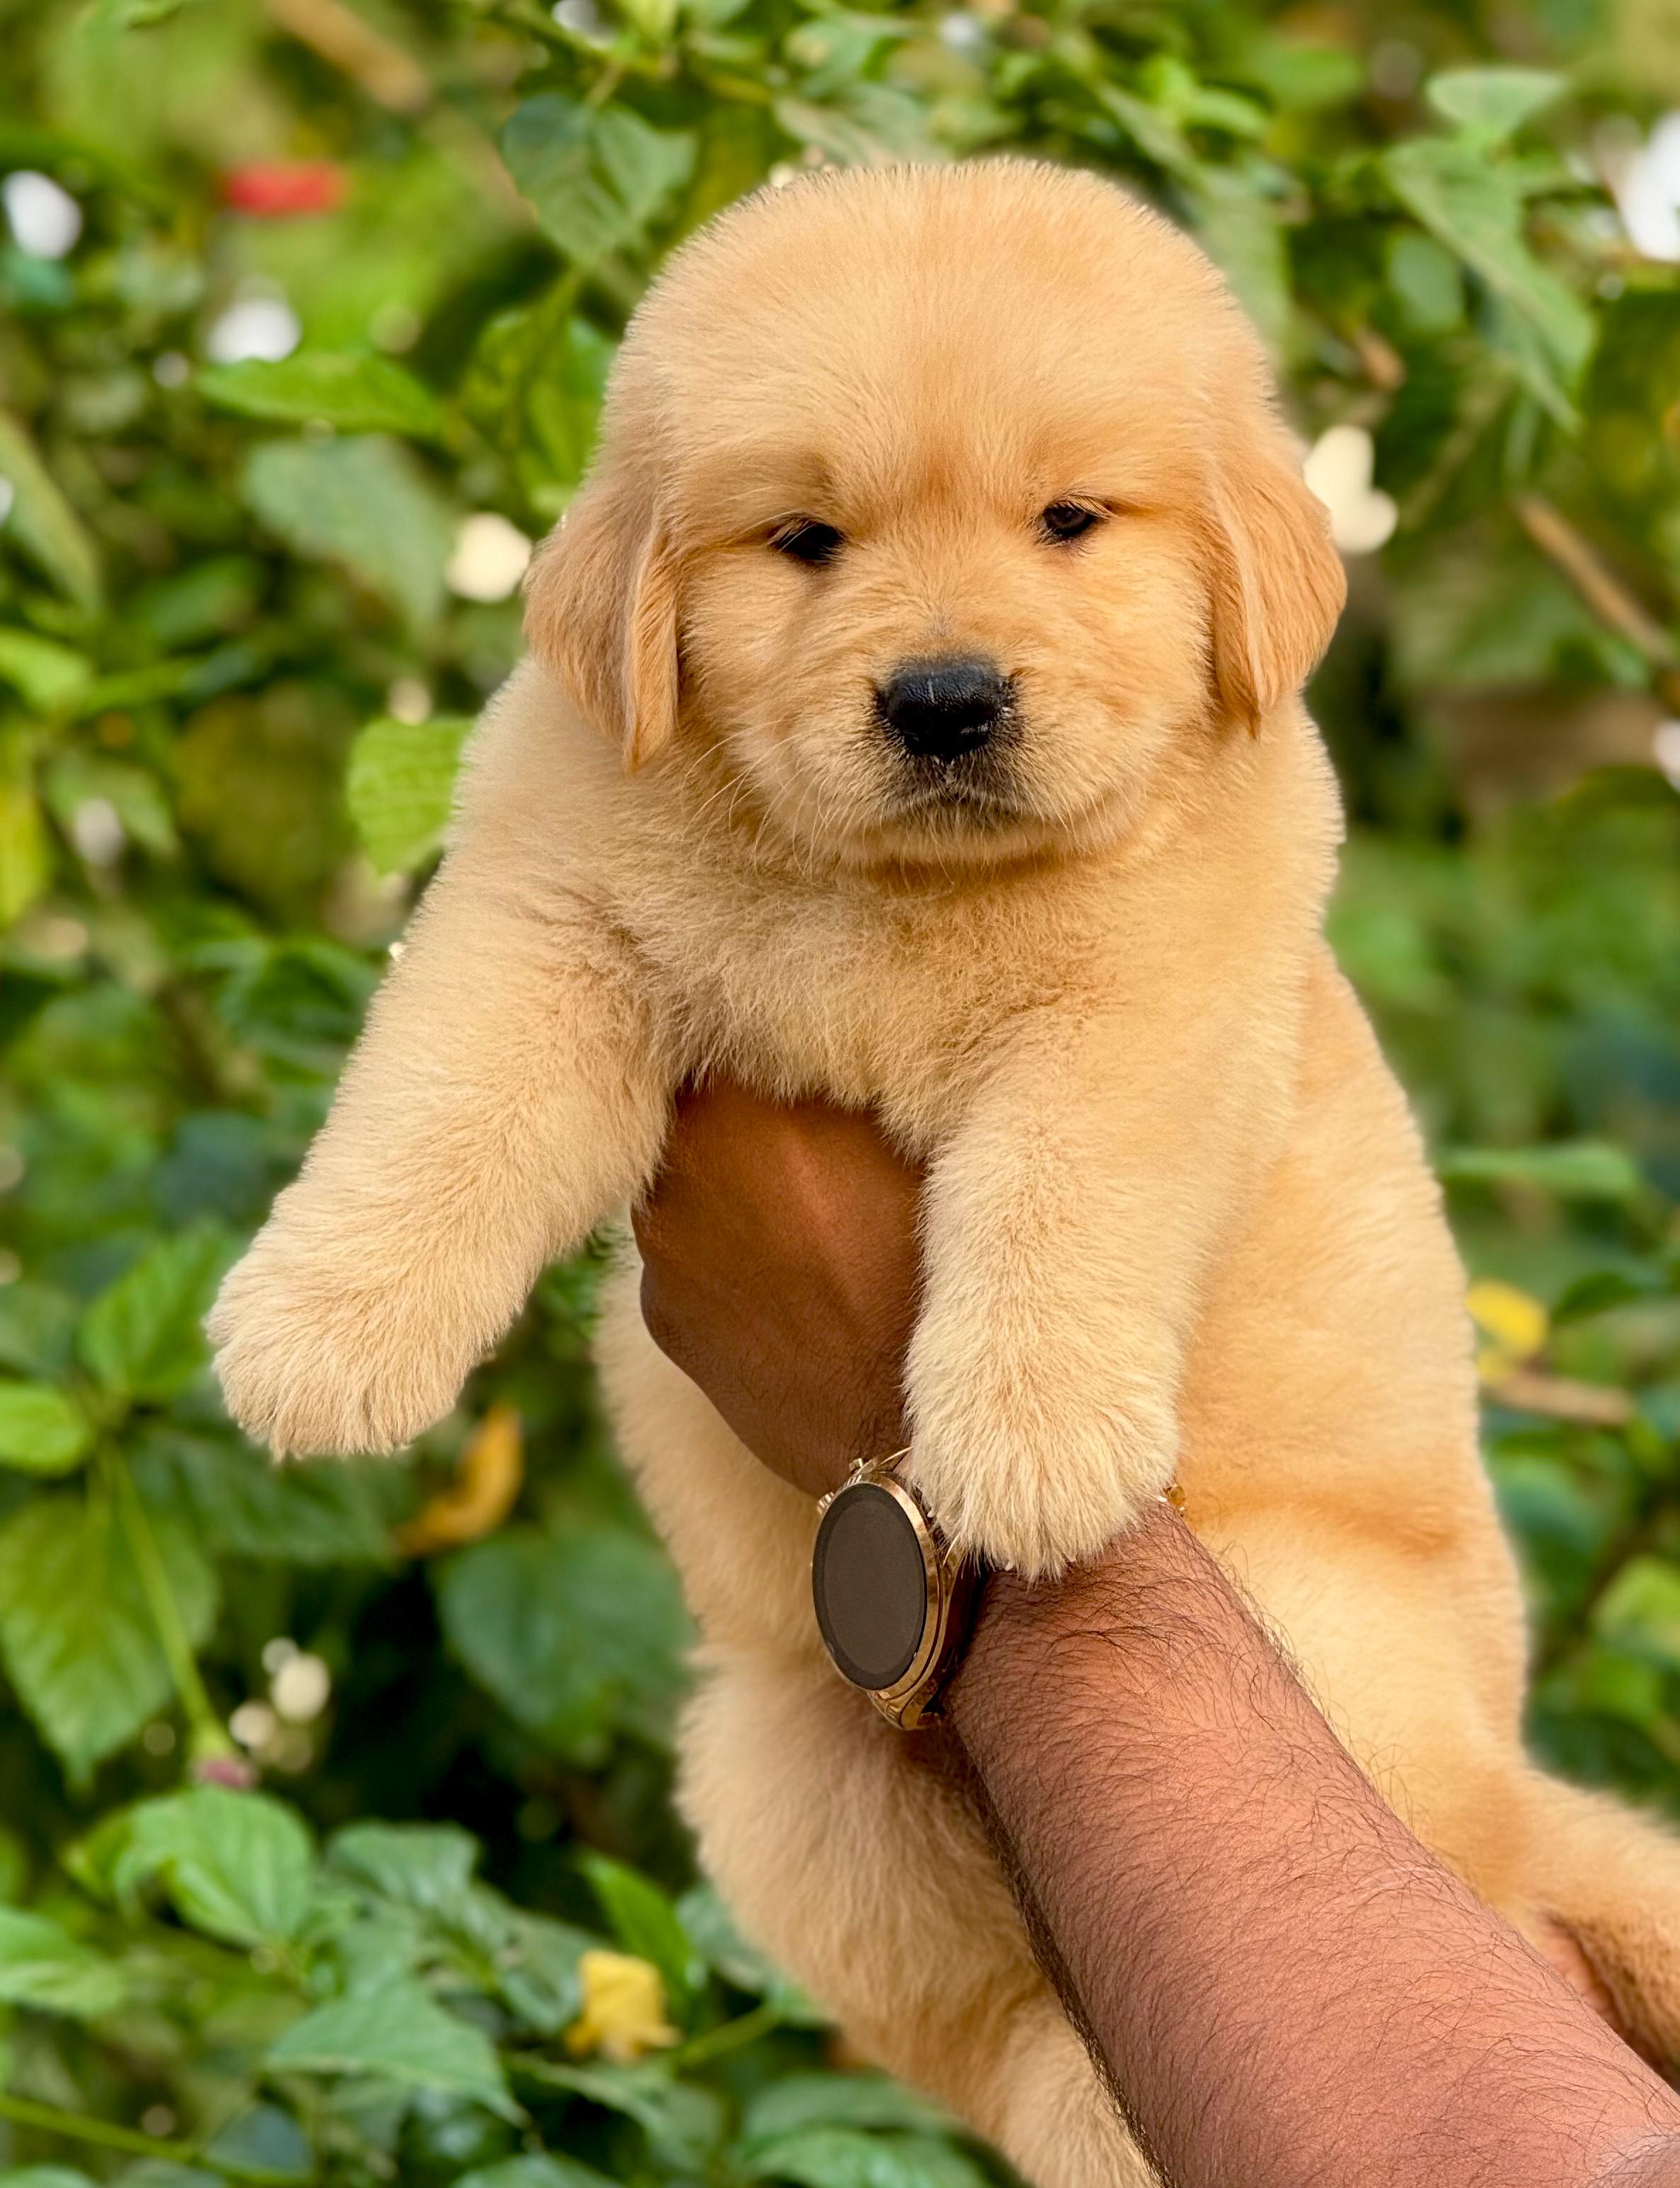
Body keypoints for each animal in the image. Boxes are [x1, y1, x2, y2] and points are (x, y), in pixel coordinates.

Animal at [213, 166, 1680, 2188]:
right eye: (804, 540)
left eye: (1069, 521)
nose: (943, 700)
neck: (897, 893)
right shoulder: (545, 906)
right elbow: (444, 1099)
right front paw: (319, 1332)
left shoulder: (1147, 1012)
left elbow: (1062, 1192)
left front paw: (1030, 1442)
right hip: (783, 1776)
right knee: (1005, 2013)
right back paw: (1089, 2117)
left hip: (1315, 1630)